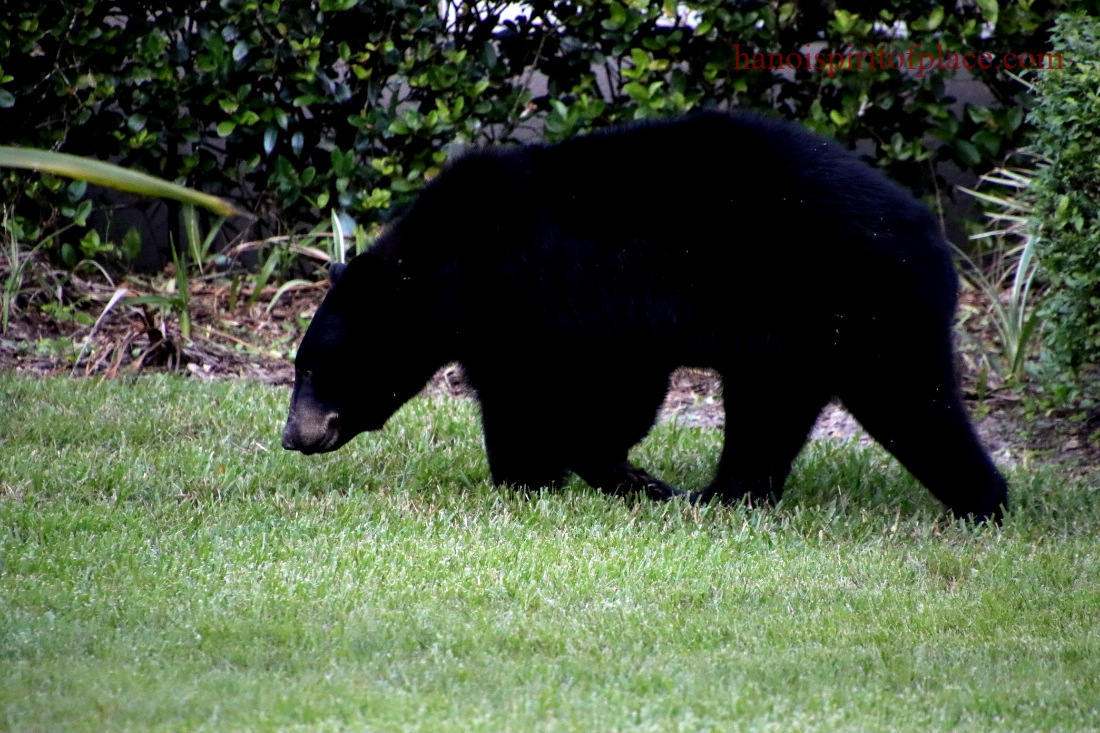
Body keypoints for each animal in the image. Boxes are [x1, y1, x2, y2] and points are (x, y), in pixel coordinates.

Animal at [281, 110, 1007, 519]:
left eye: (315, 368)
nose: (294, 435)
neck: (456, 264)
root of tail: (931, 235)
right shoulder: (500, 327)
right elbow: (517, 399)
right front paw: (539, 477)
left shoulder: (563, 296)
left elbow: (601, 392)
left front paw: (606, 475)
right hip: (795, 335)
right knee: (769, 410)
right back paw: (727, 496)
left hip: (860, 301)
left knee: (912, 404)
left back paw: (983, 504)